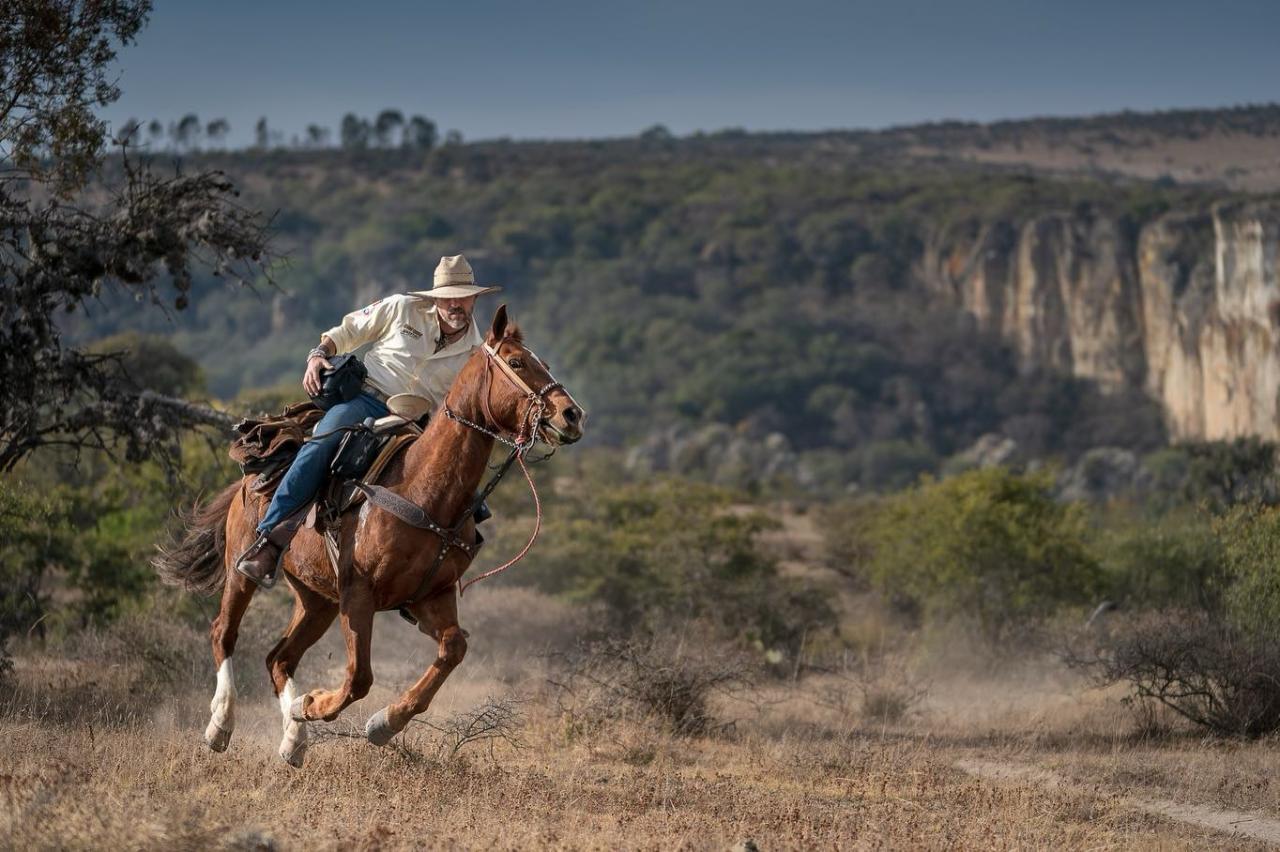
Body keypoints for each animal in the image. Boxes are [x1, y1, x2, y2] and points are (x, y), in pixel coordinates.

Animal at [153, 305, 586, 762]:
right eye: (517, 362)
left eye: (545, 363)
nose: (572, 415)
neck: (423, 489)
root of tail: (248, 475)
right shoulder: (358, 595)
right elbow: (360, 676)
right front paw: (316, 704)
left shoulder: (430, 597)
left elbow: (454, 647)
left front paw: (382, 722)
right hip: (245, 571)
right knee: (224, 632)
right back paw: (221, 725)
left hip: (317, 599)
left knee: (279, 659)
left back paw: (294, 739)